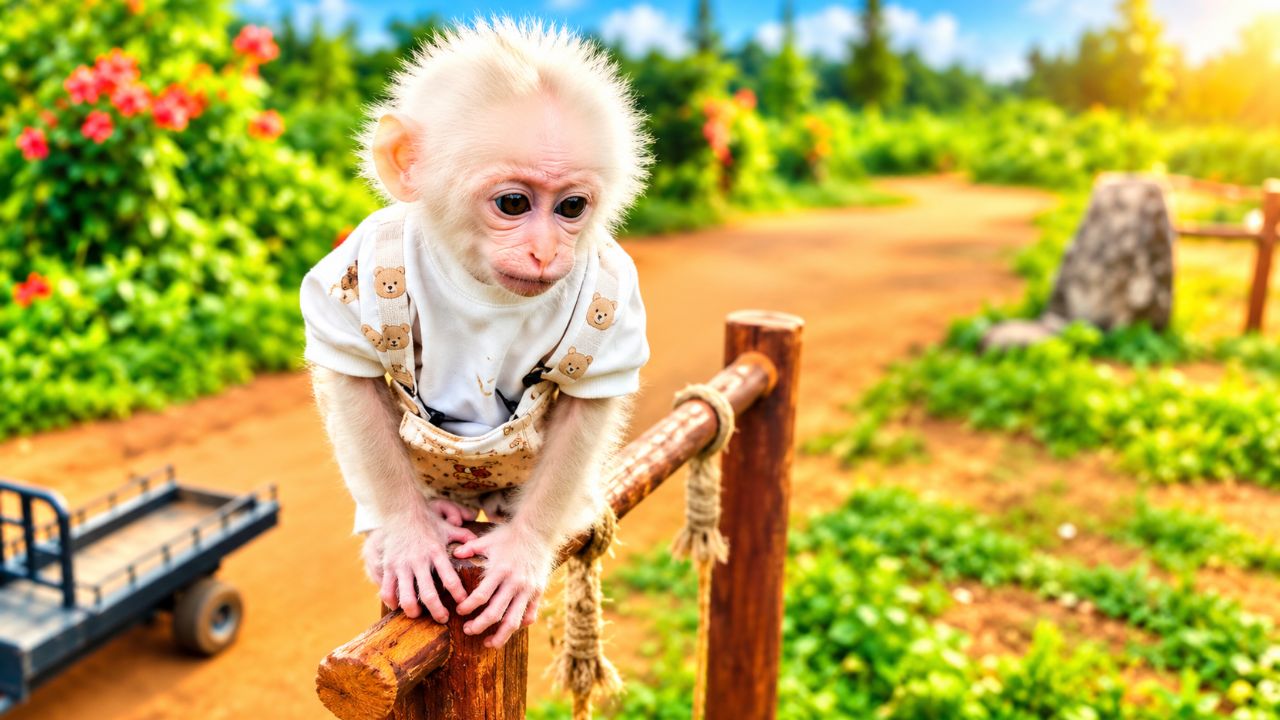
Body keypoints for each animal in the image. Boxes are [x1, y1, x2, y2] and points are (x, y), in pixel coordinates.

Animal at [301, 18, 651, 649]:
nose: (547, 251)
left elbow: (587, 404)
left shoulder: (615, 288)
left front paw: (521, 555)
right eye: (513, 203)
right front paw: (411, 536)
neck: (480, 285)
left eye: (572, 207)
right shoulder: (363, 255)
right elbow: (349, 375)